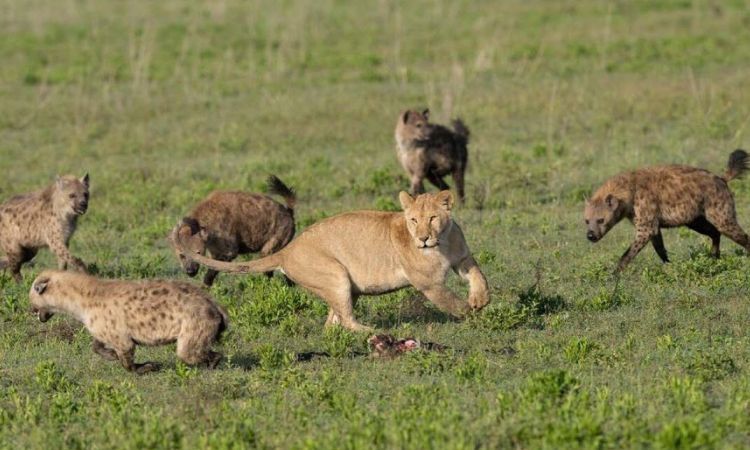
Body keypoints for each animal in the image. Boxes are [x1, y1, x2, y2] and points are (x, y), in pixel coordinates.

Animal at [173, 190, 490, 331]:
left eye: (433, 218)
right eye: (413, 220)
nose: (422, 238)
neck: (441, 242)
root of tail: (288, 250)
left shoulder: (462, 256)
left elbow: (478, 275)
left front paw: (480, 300)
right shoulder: (429, 284)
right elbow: (452, 302)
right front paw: (472, 314)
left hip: (344, 287)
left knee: (332, 322)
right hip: (335, 274)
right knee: (346, 320)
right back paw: (372, 332)